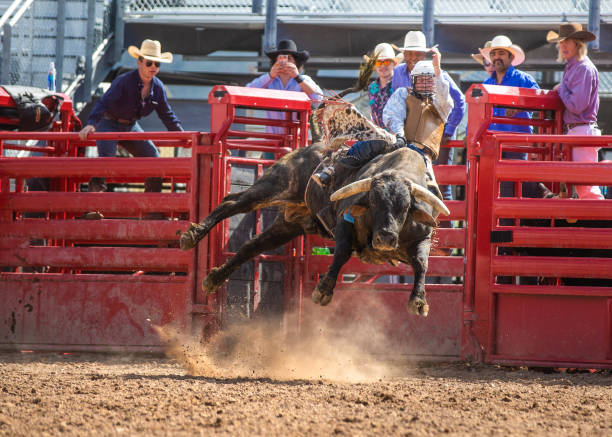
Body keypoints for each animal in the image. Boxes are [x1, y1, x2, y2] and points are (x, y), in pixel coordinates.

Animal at [179, 100, 448, 316]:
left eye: (406, 206)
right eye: (372, 201)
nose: (385, 238)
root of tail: (314, 144)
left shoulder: (421, 237)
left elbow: (422, 264)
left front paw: (418, 302)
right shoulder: (344, 221)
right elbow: (342, 252)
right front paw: (324, 290)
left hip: (289, 224)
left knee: (250, 247)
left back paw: (214, 278)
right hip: (277, 184)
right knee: (232, 202)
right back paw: (192, 236)